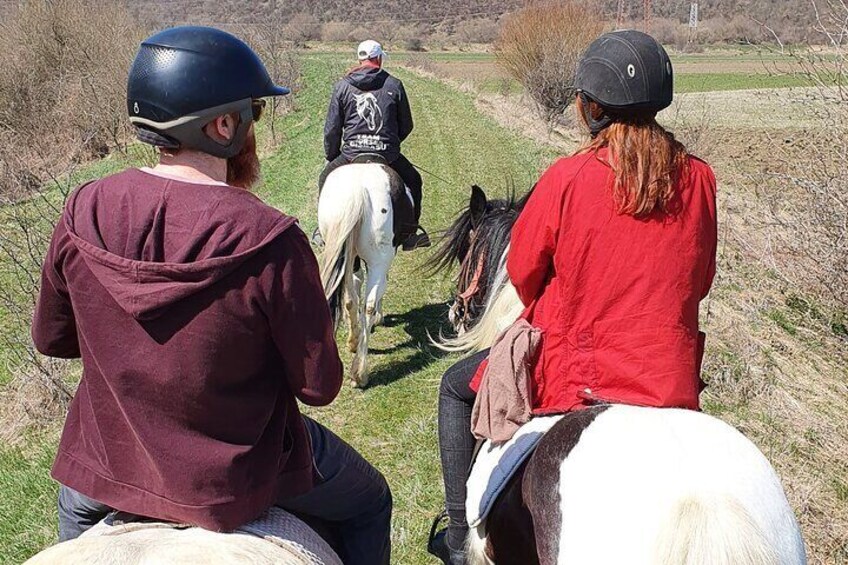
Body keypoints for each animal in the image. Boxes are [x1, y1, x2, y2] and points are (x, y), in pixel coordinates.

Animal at [318, 153, 414, 388]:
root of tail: (358, 192)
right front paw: (380, 316)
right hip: (379, 257)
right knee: (368, 303)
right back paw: (360, 373)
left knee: (350, 298)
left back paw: (354, 344)